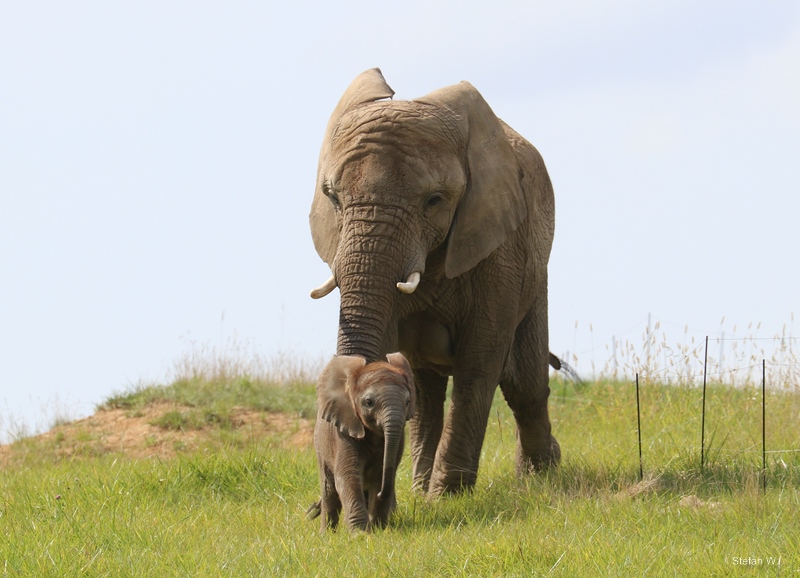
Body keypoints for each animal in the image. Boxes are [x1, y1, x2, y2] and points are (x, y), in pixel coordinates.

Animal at [309, 68, 560, 497]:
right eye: (333, 198)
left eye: (435, 200)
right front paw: (428, 495)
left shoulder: (500, 249)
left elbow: (480, 360)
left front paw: (450, 496)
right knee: (426, 389)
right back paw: (419, 488)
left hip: (535, 271)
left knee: (524, 386)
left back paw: (540, 475)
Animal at [309, 352, 416, 532]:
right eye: (369, 402)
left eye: (408, 402)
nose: (381, 493)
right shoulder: (343, 432)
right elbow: (347, 477)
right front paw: (360, 534)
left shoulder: (400, 437)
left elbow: (380, 474)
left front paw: (379, 530)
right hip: (320, 445)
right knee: (330, 490)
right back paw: (327, 534)